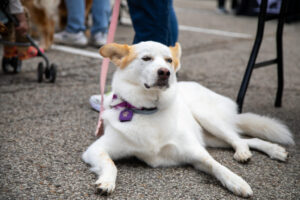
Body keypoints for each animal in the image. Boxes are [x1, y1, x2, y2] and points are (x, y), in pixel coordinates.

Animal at [82, 40, 296, 197]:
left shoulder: (195, 151)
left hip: (207, 118)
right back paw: (273, 150)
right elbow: (111, 164)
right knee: (246, 139)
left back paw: (257, 152)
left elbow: (216, 165)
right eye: (146, 58)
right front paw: (107, 181)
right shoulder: (95, 149)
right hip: (209, 136)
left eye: (168, 60)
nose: (165, 72)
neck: (148, 110)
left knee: (238, 139)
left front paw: (236, 181)